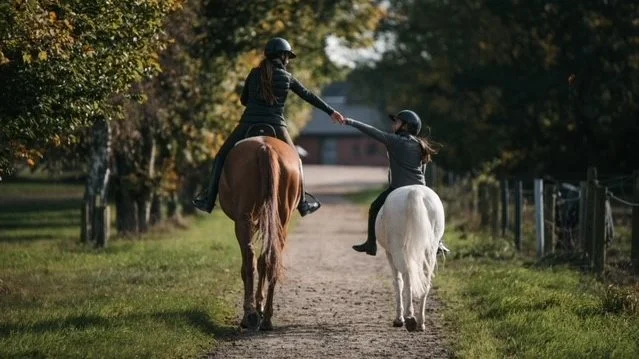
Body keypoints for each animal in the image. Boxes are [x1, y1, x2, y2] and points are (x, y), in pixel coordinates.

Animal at [218, 136, 302, 332]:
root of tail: (265, 148)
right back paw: (266, 319)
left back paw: (249, 315)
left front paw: (256, 308)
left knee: (249, 261)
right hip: (281, 222)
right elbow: (264, 261)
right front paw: (260, 306)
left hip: (243, 221)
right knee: (271, 259)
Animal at [376, 186, 444, 332]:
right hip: (430, 251)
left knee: (407, 278)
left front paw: (398, 319)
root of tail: (415, 191)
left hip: (397, 250)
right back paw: (420, 322)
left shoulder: (389, 254)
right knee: (425, 282)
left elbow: (398, 283)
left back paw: (409, 317)